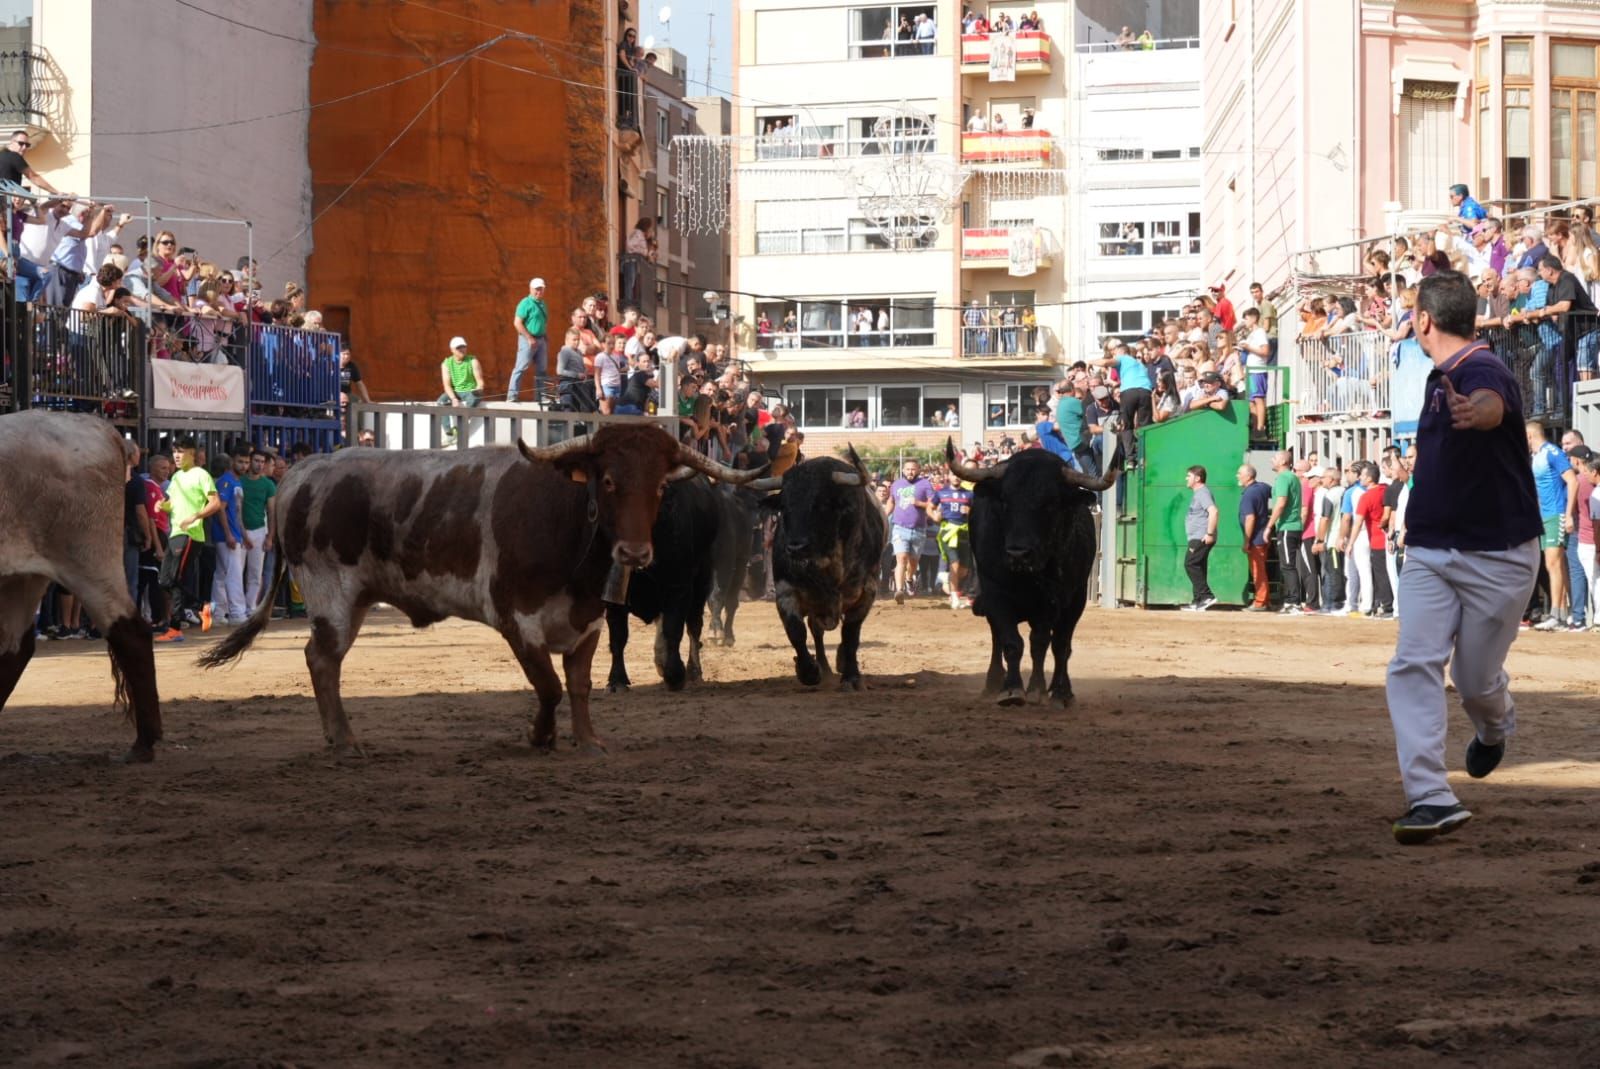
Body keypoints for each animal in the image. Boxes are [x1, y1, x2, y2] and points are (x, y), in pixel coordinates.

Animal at [0, 409, 162, 758]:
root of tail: (101, 428)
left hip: (90, 561)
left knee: (130, 632)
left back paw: (145, 743)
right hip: (23, 575)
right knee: (14, 648)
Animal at [200, 422, 761, 755]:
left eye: (661, 486)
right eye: (607, 481)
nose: (636, 554)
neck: (566, 521)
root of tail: (301, 471)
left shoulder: (589, 622)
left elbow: (577, 685)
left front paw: (587, 740)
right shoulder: (517, 619)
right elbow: (548, 685)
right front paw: (540, 735)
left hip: (353, 599)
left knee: (323, 659)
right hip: (329, 593)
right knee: (322, 659)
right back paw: (344, 739)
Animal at [940, 438, 1120, 704]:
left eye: (1051, 503)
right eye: (1005, 501)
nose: (1018, 553)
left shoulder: (1056, 600)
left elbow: (1044, 643)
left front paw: (1041, 689)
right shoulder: (995, 594)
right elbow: (1011, 642)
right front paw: (1012, 689)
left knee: (1061, 645)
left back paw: (1061, 691)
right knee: (998, 638)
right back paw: (993, 682)